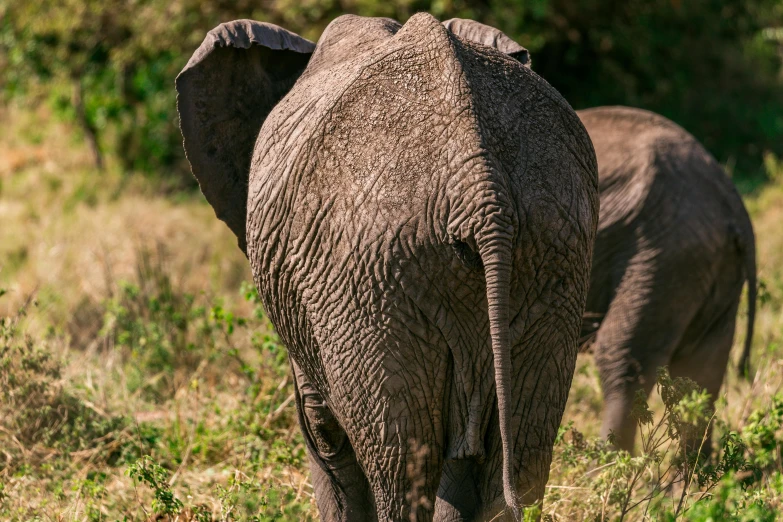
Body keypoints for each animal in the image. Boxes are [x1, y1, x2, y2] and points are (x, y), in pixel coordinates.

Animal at [175, 13, 596, 520]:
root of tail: (480, 186)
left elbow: (322, 433)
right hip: (552, 248)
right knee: (520, 456)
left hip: (368, 278)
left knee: (400, 462)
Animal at [580, 106, 756, 450]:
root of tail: (734, 208)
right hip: (706, 269)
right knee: (702, 368)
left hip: (662, 253)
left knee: (622, 356)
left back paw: (606, 463)